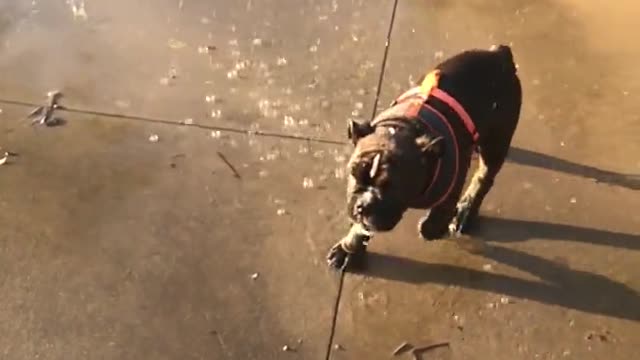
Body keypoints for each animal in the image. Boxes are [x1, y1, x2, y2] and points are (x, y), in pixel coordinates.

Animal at [328, 45, 524, 268]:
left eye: (392, 186)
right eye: (354, 174)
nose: (362, 206)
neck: (403, 127)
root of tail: (499, 54)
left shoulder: (455, 170)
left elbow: (445, 204)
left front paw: (433, 227)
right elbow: (361, 228)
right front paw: (349, 249)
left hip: (497, 139)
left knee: (484, 175)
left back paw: (465, 210)